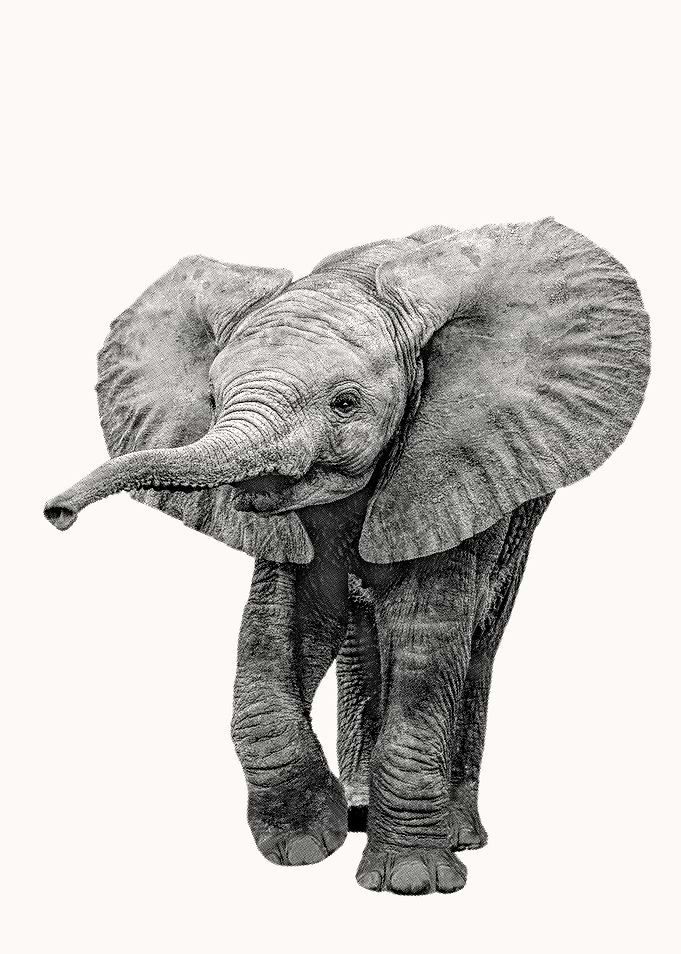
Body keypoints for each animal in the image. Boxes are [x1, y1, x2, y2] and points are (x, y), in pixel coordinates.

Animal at [44, 218, 650, 895]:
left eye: (345, 403)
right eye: (213, 397)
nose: (57, 514)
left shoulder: (456, 464)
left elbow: (428, 635)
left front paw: (411, 882)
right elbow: (280, 629)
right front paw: (304, 846)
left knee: (479, 641)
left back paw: (460, 835)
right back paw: (361, 813)